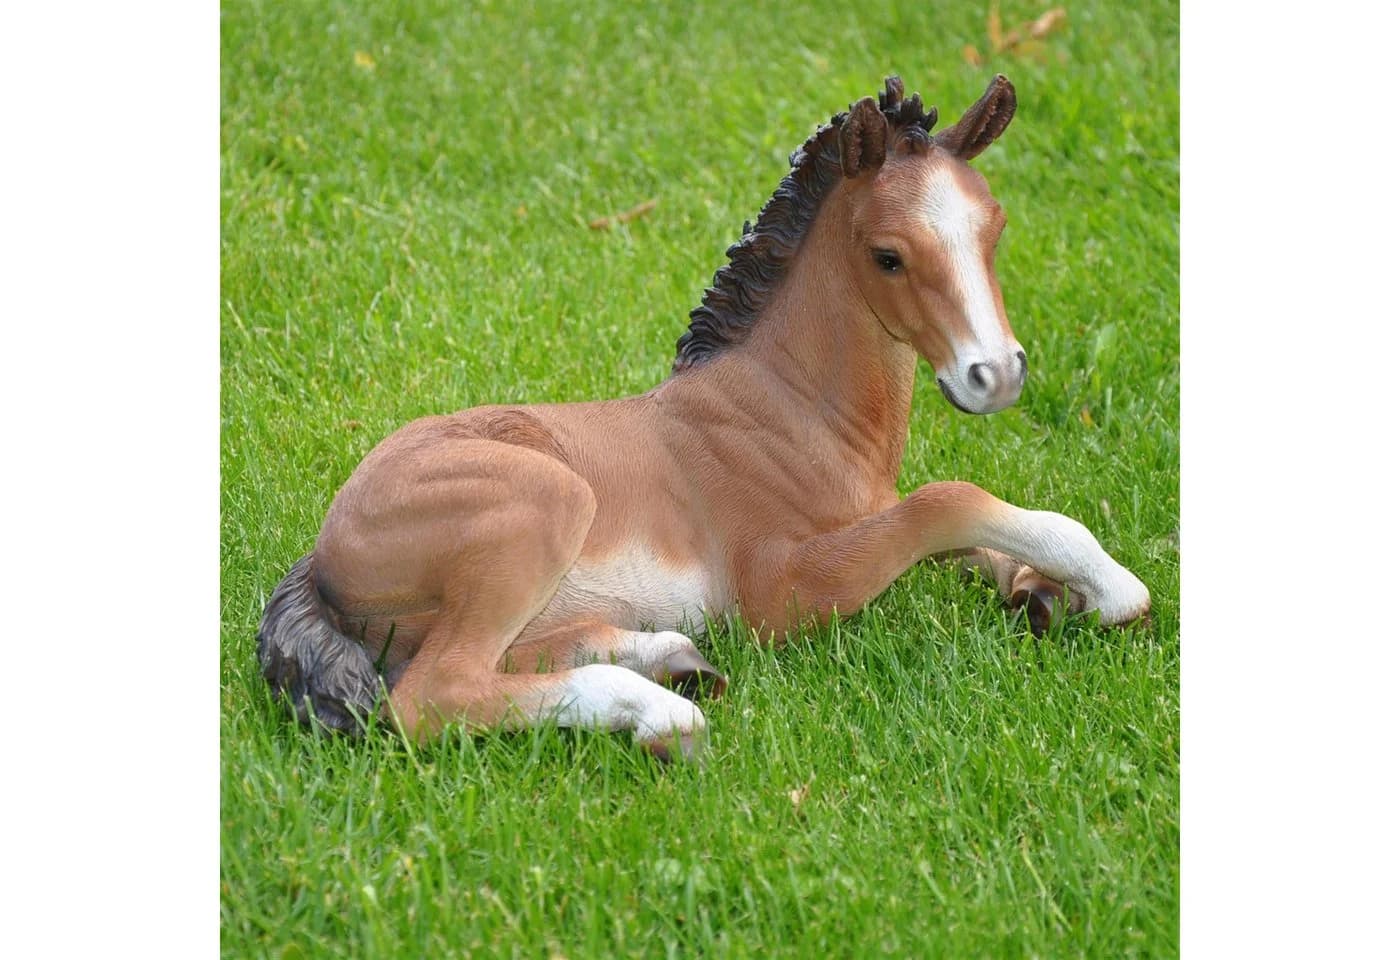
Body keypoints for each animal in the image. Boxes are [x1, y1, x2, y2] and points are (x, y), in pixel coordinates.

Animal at [257, 75, 1150, 760]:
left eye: (994, 229)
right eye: (888, 255)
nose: (994, 375)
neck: (792, 408)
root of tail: (325, 552)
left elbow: (970, 534)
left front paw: (1045, 591)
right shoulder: (782, 592)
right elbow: (949, 502)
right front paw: (1111, 589)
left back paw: (666, 656)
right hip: (545, 502)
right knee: (434, 694)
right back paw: (657, 709)